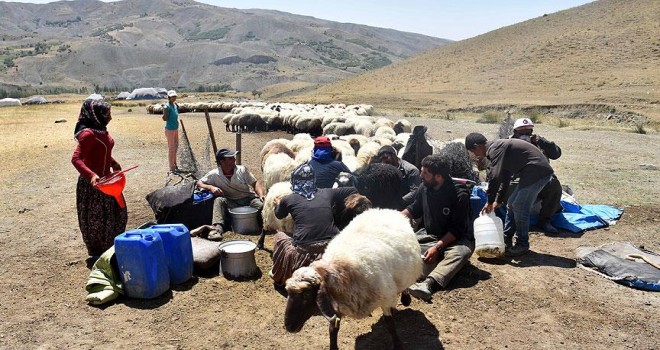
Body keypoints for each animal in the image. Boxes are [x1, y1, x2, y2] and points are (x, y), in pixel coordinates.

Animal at [284, 208, 422, 350]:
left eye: (306, 294)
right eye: (288, 293)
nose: (288, 326)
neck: (340, 270)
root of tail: (387, 210)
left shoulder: (385, 299)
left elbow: (390, 325)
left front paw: (398, 345)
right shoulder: (337, 302)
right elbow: (333, 328)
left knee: (405, 285)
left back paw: (406, 298)